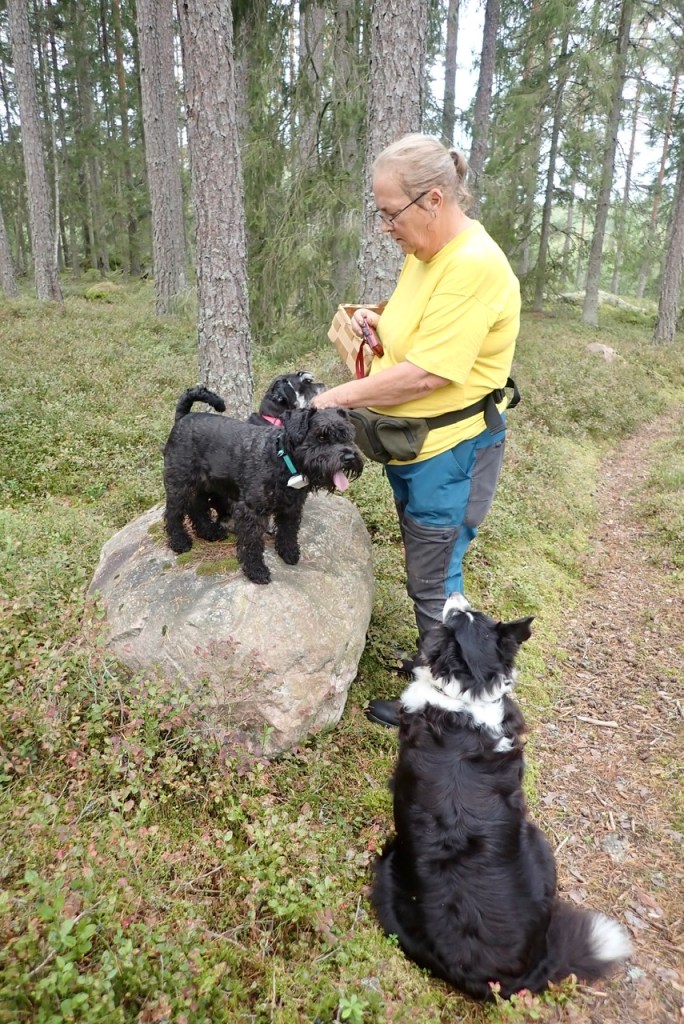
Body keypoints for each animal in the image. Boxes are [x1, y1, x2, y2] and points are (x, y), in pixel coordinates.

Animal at [163, 387, 363, 584]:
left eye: (347, 435)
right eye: (321, 436)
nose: (349, 457)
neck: (282, 459)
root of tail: (183, 417)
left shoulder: (292, 507)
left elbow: (288, 531)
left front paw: (288, 552)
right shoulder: (251, 511)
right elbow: (252, 543)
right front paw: (256, 570)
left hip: (204, 486)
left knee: (196, 507)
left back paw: (209, 532)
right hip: (179, 484)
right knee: (173, 513)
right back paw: (180, 542)